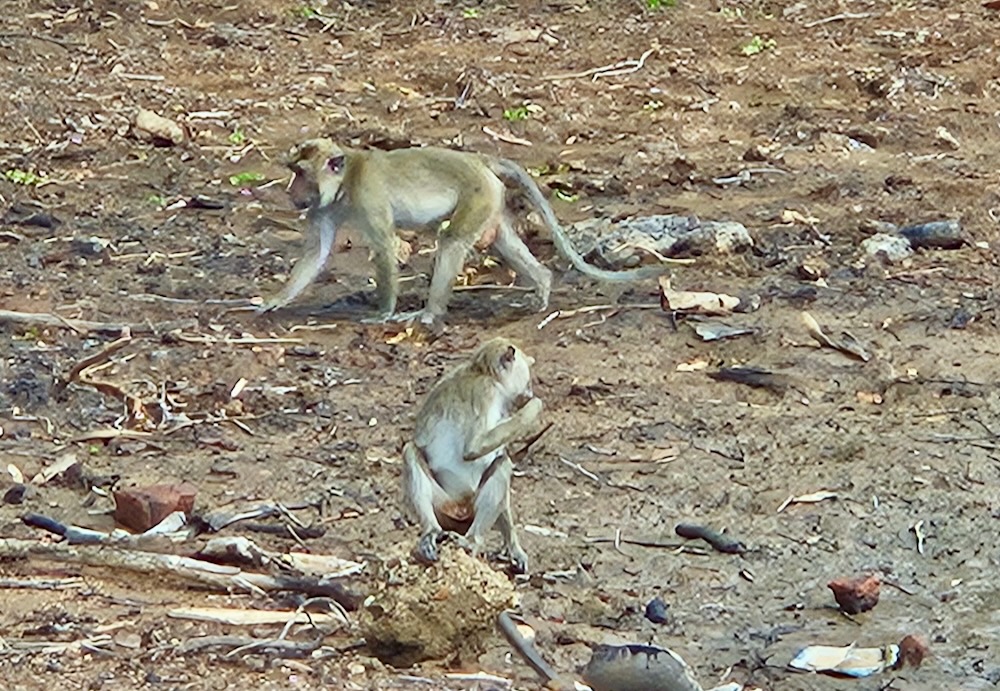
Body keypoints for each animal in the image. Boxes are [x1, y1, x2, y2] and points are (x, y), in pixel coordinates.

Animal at [257, 138, 664, 324]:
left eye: (300, 173)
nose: (290, 192)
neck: (344, 184)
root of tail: (479, 159)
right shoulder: (322, 208)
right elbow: (316, 253)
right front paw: (276, 299)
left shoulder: (368, 194)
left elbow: (385, 246)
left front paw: (383, 312)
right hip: (491, 199)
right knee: (501, 240)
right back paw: (543, 284)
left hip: (478, 192)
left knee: (451, 241)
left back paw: (429, 314)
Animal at [401, 337, 543, 574]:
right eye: (528, 380)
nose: (530, 393)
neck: (482, 372)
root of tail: (460, 509)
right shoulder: (486, 392)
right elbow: (473, 448)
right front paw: (533, 408)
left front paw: (514, 547)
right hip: (444, 505)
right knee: (410, 451)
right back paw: (452, 536)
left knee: (501, 463)